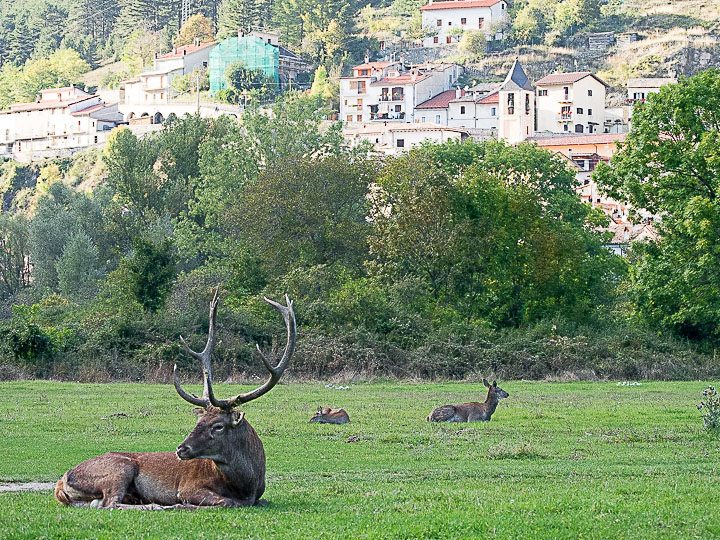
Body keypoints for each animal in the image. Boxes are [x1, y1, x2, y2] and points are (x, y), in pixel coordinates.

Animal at [52, 288, 296, 508]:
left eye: (218, 426)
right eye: (198, 421)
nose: (181, 449)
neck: (248, 485)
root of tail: (61, 482)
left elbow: (258, 501)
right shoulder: (189, 486)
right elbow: (227, 502)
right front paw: (182, 505)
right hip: (119, 469)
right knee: (109, 503)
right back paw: (157, 505)